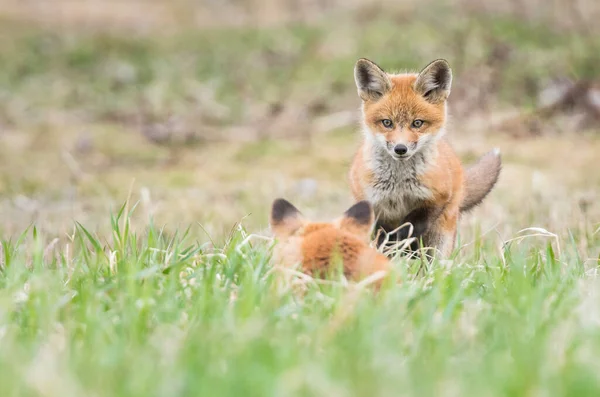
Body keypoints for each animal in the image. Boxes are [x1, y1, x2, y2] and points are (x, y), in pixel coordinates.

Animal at [346, 58, 502, 256]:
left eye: (417, 123)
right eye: (387, 123)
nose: (400, 149)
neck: (399, 184)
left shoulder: (437, 198)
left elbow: (411, 227)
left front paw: (401, 248)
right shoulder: (373, 204)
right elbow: (384, 237)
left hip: (441, 237)